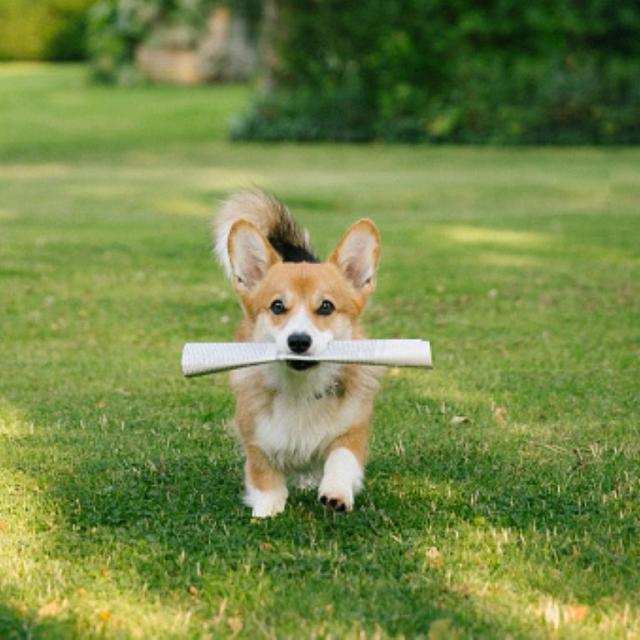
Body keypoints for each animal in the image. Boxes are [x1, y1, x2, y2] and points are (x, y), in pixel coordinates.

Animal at [215, 189, 382, 516]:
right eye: (277, 306)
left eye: (326, 306)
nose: (299, 341)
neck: (301, 388)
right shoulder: (256, 437)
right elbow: (264, 477)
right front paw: (266, 511)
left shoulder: (353, 431)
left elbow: (341, 459)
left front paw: (335, 493)